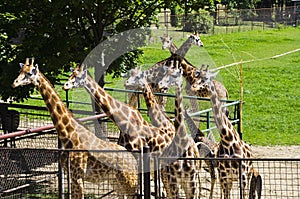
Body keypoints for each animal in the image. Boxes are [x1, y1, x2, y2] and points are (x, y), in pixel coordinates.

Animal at [11, 58, 138, 198]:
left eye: (29, 73)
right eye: (20, 71)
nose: (14, 83)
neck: (69, 136)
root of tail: (133, 161)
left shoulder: (78, 176)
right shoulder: (70, 175)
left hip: (128, 180)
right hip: (114, 180)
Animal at [191, 65, 262, 199]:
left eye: (206, 79)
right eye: (197, 76)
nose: (193, 86)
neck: (227, 139)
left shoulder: (242, 176)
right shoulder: (224, 176)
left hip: (248, 174)